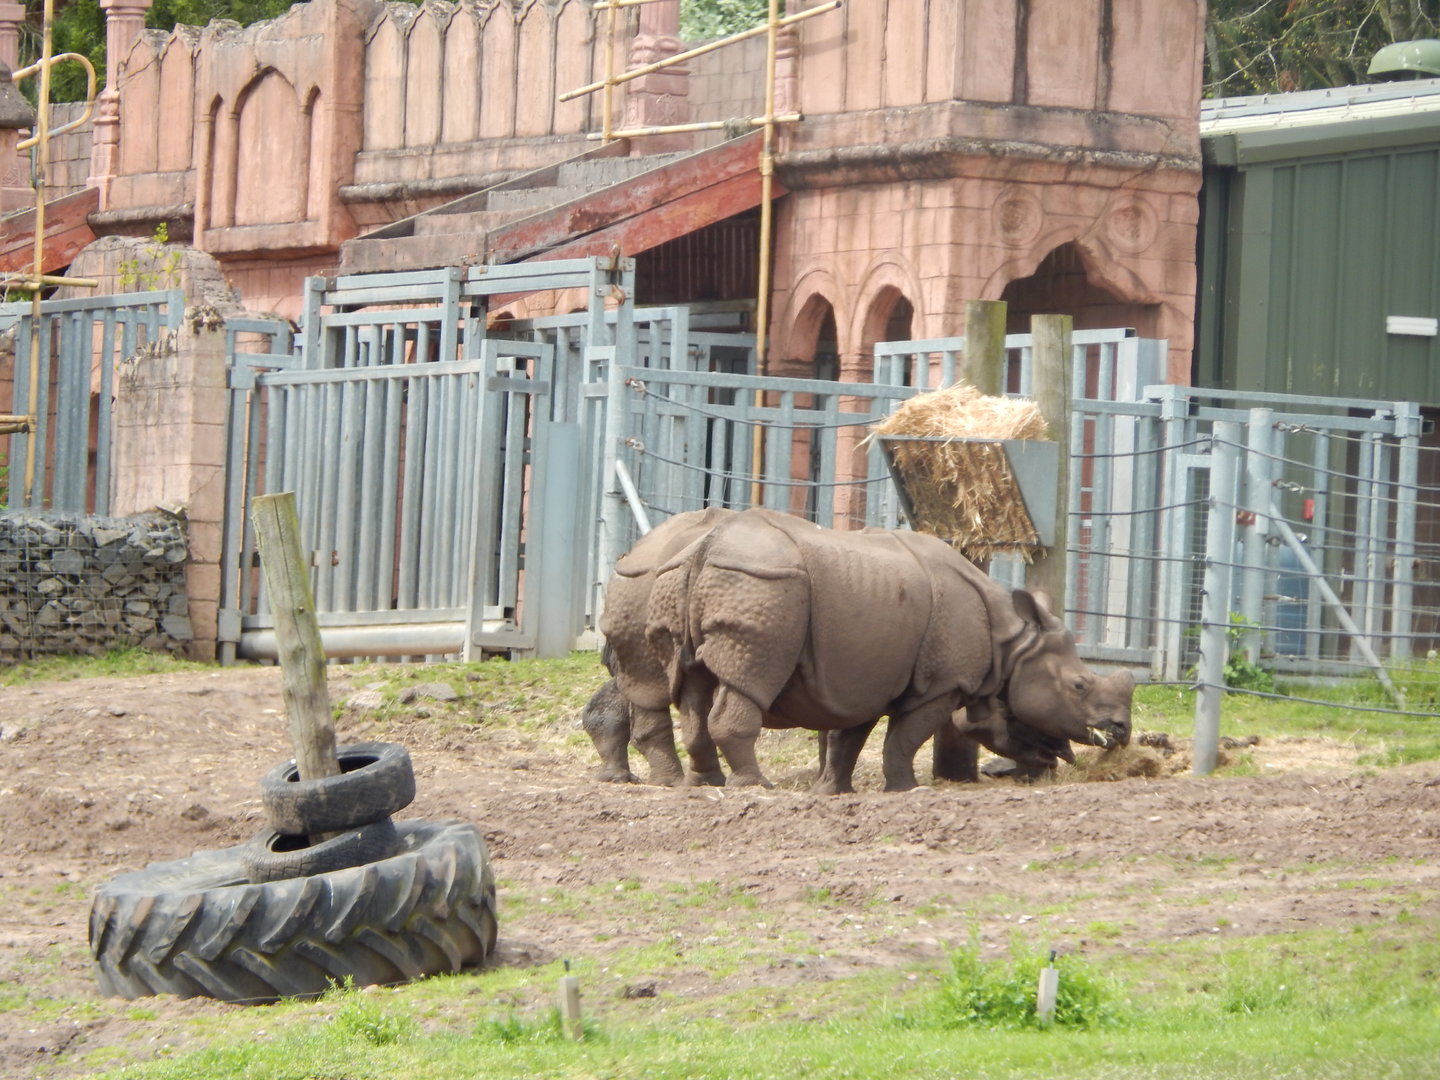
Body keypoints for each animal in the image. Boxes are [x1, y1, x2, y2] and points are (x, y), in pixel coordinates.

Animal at [600, 507, 1133, 793]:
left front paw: (832, 791)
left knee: (689, 685)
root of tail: (703, 546)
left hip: (680, 580)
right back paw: (753, 787)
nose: (1122, 730)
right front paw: (907, 789)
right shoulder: (941, 684)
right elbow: (905, 737)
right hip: (763, 586)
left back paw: (700, 785)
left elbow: (847, 737)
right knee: (742, 677)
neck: (1012, 646)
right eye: (1079, 685)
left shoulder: (861, 678)